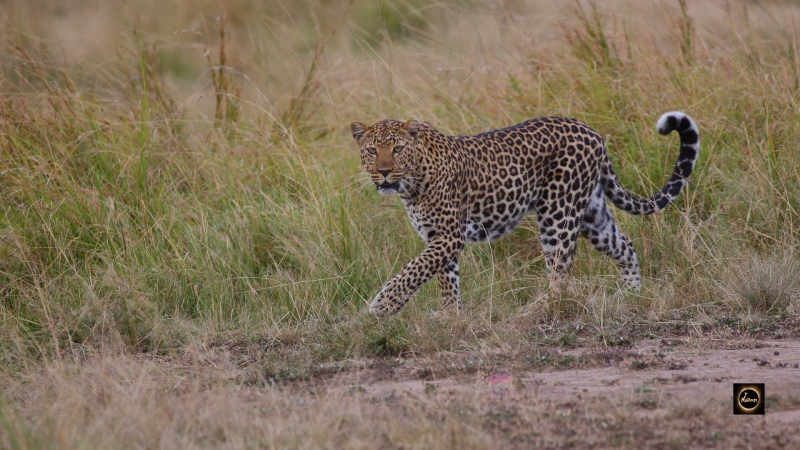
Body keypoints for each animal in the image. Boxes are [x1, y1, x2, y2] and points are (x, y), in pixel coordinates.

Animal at [350, 112, 699, 317]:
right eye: (371, 150)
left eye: (397, 149)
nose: (384, 172)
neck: (413, 180)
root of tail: (590, 131)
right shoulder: (437, 237)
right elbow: (444, 280)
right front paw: (452, 318)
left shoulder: (449, 236)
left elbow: (414, 270)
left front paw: (383, 305)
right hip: (592, 214)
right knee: (624, 246)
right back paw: (630, 297)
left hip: (558, 214)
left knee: (561, 275)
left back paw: (534, 310)